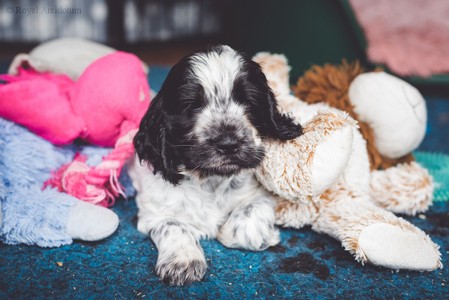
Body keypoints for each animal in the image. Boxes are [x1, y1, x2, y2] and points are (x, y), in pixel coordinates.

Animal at [128, 45, 300, 286]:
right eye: (192, 106)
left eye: (249, 102)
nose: (228, 144)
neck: (211, 179)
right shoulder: (153, 212)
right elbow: (173, 225)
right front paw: (183, 261)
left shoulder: (259, 194)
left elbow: (251, 212)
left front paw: (238, 233)